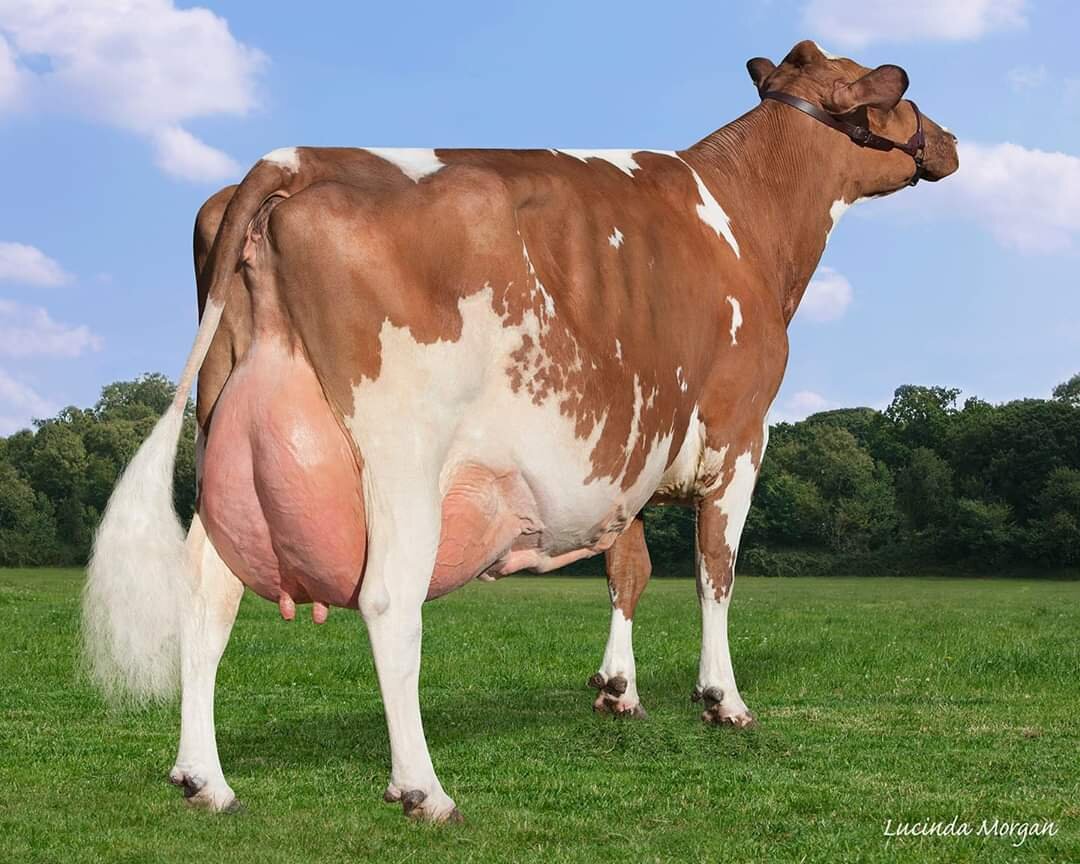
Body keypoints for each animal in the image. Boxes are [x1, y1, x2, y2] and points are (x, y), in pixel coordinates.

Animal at [82, 40, 958, 823]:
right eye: (897, 94)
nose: (948, 142)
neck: (747, 217)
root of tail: (293, 160)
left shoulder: (625, 450)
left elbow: (629, 569)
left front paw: (619, 691)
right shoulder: (741, 433)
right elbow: (717, 569)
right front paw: (722, 700)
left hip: (223, 446)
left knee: (207, 594)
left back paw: (204, 780)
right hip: (402, 460)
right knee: (389, 601)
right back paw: (422, 790)